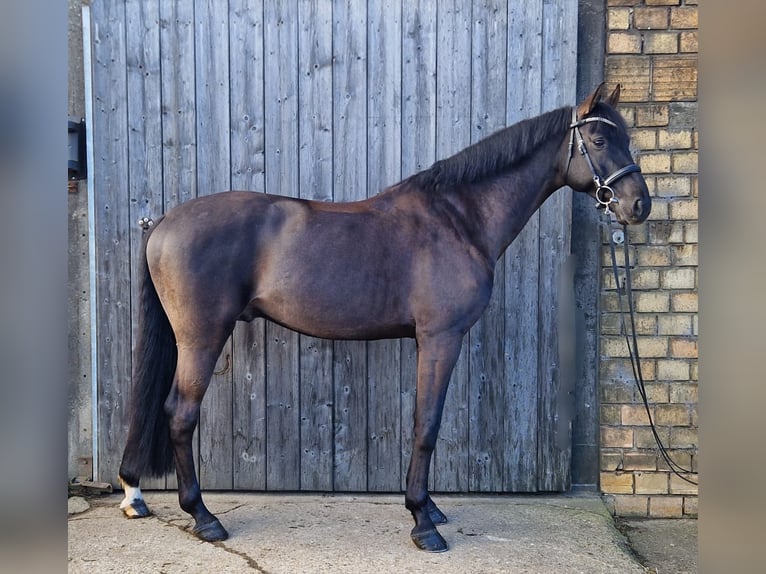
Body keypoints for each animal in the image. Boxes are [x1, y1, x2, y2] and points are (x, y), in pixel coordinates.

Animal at [117, 83, 650, 553]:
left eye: (626, 137)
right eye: (599, 140)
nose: (638, 205)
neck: (458, 219)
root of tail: (164, 222)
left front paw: (429, 508)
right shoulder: (440, 338)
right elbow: (426, 424)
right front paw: (422, 522)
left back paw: (135, 492)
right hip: (202, 337)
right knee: (180, 413)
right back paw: (203, 517)